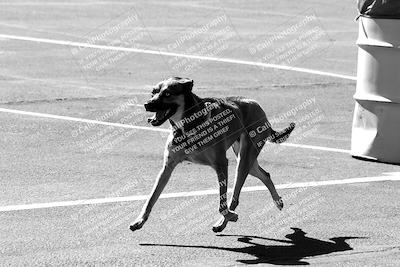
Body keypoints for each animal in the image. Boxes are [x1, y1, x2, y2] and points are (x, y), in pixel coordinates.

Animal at [130, 76, 294, 233]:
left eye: (168, 93)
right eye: (153, 92)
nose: (147, 104)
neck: (188, 126)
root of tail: (256, 104)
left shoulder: (221, 164)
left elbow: (222, 205)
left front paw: (229, 216)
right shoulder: (167, 167)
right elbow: (151, 198)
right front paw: (140, 220)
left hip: (244, 159)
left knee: (235, 197)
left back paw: (224, 221)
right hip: (247, 159)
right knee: (265, 174)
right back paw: (277, 201)